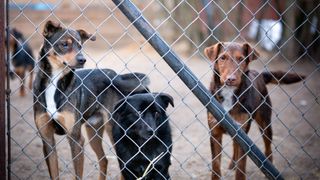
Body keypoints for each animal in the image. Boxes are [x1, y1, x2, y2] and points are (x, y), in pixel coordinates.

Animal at [32, 20, 149, 179]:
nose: (82, 60)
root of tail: (116, 76)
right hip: (93, 130)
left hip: (115, 131)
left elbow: (78, 176)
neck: (55, 81)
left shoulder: (76, 139)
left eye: (80, 46)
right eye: (64, 44)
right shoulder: (47, 140)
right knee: (104, 160)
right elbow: (54, 174)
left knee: (124, 165)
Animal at [204, 41, 304, 179]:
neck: (229, 93)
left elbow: (241, 167)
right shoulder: (215, 132)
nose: (231, 79)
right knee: (235, 145)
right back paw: (232, 163)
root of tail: (259, 74)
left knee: (268, 147)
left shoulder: (242, 133)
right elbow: (216, 165)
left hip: (265, 123)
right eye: (222, 58)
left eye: (241, 59)